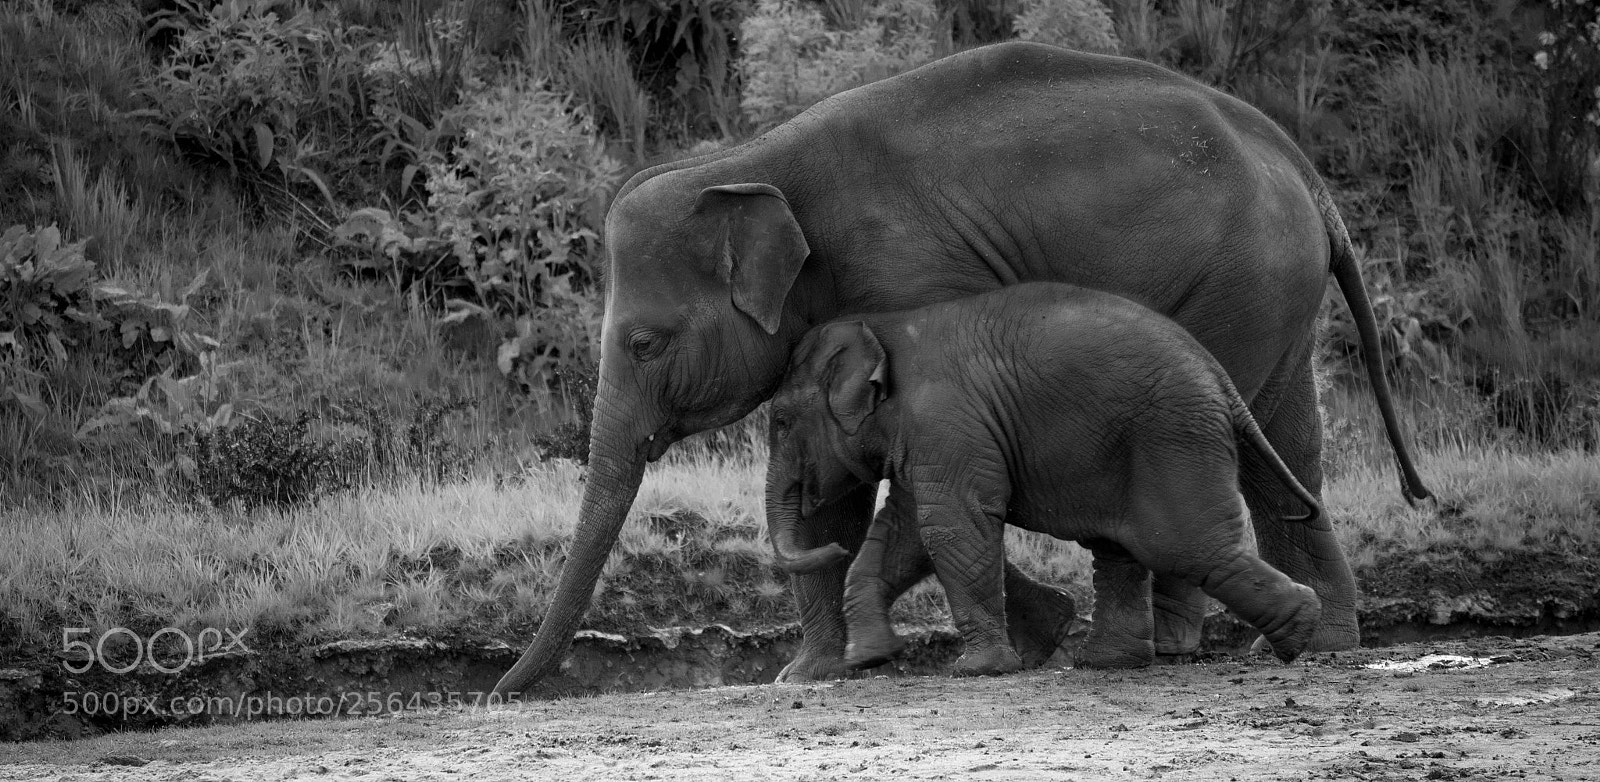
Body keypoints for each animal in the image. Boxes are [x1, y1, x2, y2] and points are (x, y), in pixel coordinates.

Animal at [765, 282, 1326, 675]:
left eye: (781, 422)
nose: (831, 544)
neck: (883, 328)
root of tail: (1221, 379)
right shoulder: (928, 434)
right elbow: (905, 530)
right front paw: (868, 658)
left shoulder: (945, 419)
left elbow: (949, 524)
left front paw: (977, 671)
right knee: (1125, 545)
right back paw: (1106, 663)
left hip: (1172, 438)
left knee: (1185, 545)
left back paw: (1299, 632)